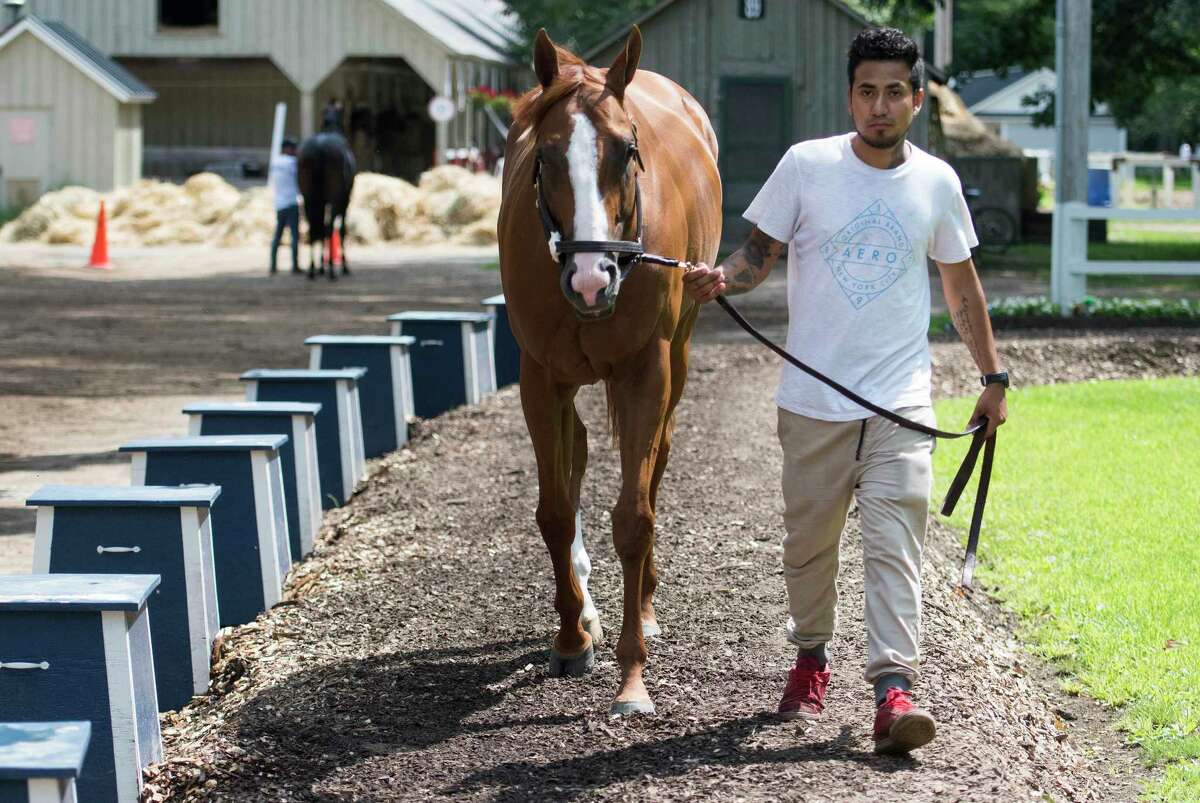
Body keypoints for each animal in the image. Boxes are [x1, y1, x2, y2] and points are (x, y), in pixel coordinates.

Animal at [298, 127, 355, 282]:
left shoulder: (321, 203)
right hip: (334, 200)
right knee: (329, 228)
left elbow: (321, 229)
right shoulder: (344, 203)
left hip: (309, 199)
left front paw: (321, 268)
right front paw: (344, 267)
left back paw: (312, 270)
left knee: (314, 229)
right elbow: (341, 231)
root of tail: (320, 148)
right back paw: (331, 271)